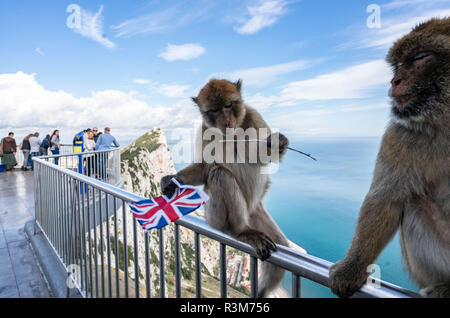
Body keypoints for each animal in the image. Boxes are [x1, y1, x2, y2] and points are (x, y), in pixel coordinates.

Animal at [328, 18, 448, 298]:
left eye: (421, 57)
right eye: (397, 65)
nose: (394, 80)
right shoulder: (398, 135)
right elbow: (385, 199)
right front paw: (352, 268)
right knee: (414, 203)